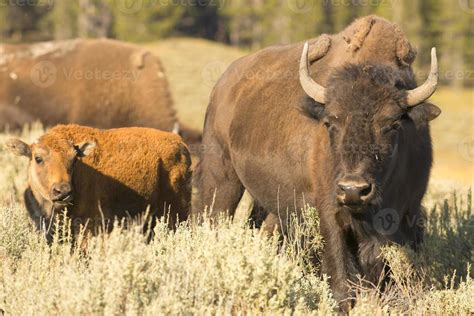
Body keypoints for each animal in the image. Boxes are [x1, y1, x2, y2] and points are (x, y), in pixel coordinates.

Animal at [193, 16, 440, 310]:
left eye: (392, 123)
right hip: (221, 178)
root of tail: (223, 85)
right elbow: (341, 280)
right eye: (331, 121)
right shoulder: (330, 213)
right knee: (212, 216)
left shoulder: (408, 214)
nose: (353, 189)